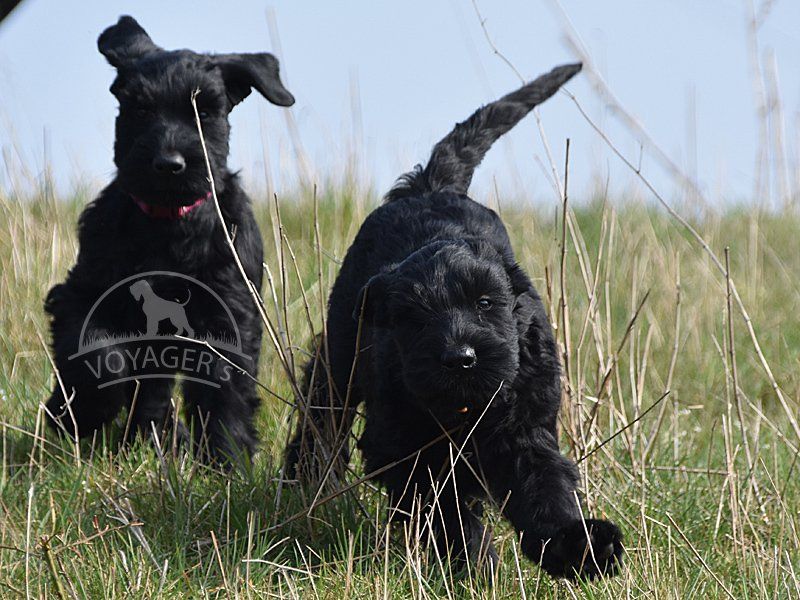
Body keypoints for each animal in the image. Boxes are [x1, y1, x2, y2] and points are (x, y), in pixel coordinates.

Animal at [44, 16, 294, 463]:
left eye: (205, 111)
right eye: (140, 108)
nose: (169, 164)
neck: (168, 224)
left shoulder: (228, 316)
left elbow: (225, 389)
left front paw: (228, 459)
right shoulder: (81, 294)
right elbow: (100, 354)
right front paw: (85, 411)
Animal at [287, 63, 623, 579]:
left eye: (486, 302)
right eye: (414, 317)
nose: (461, 358)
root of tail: (430, 185)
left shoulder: (524, 428)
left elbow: (545, 488)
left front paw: (580, 546)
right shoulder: (405, 444)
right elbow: (442, 505)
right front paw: (474, 560)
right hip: (343, 354)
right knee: (322, 406)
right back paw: (301, 475)